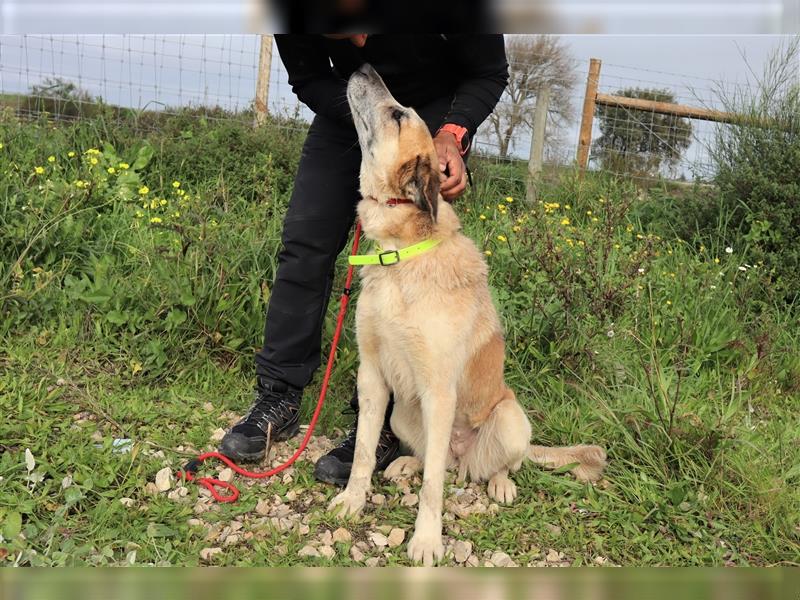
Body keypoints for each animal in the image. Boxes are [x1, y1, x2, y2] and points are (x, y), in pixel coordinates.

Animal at [330, 65, 608, 568]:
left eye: (398, 115)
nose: (363, 68)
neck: (401, 257)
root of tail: (465, 458)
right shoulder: (373, 379)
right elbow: (362, 452)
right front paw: (353, 501)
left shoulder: (440, 392)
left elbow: (432, 490)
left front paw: (426, 541)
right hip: (403, 413)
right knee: (433, 458)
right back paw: (407, 462)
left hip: (510, 419)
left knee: (492, 466)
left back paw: (500, 485)